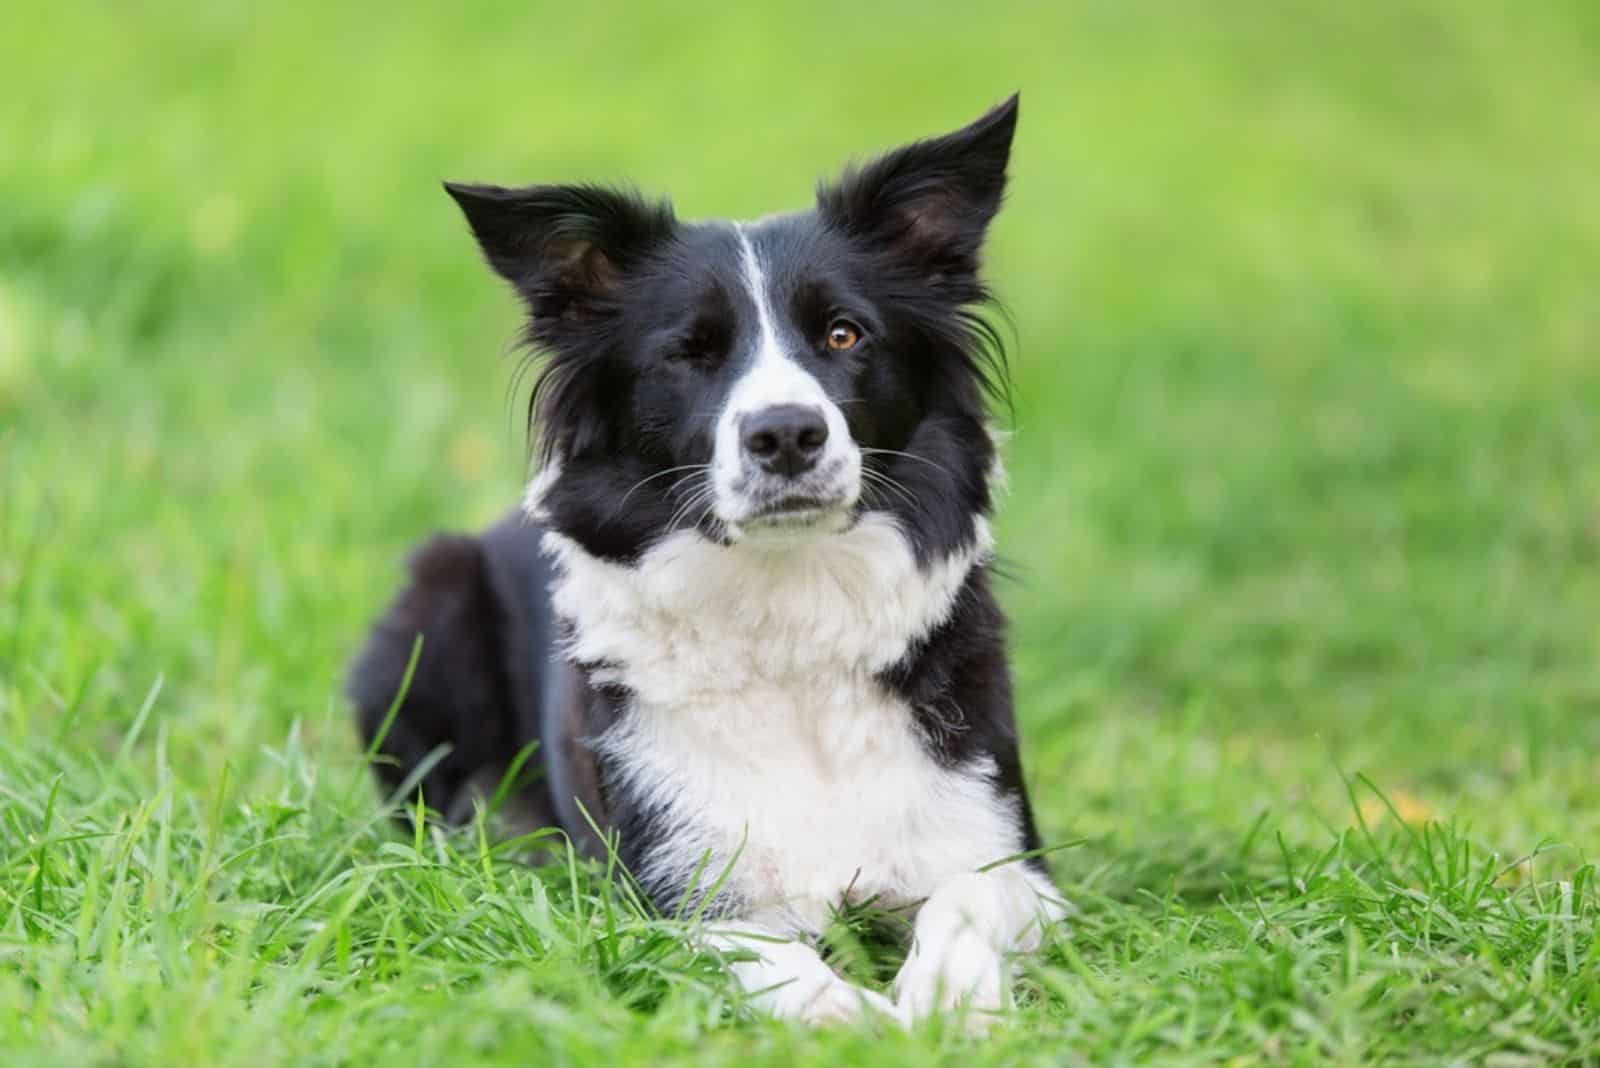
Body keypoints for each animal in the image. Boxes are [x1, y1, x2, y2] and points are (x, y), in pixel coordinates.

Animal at [355, 95, 1068, 1023]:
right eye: (687, 353)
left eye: (844, 334)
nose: (786, 434)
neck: (791, 615)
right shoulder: (669, 896)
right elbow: (771, 957)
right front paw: (850, 1019)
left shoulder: (1007, 851)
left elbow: (969, 897)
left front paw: (947, 1001)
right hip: (427, 614)